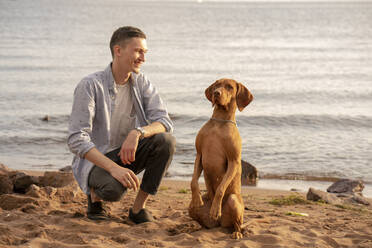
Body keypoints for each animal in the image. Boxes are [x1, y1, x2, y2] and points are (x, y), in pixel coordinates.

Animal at [189, 78, 253, 239]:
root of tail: (220, 223)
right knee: (204, 222)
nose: (216, 93)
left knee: (236, 225)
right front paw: (196, 197)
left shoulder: (233, 162)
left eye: (230, 87)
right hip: (192, 209)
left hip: (233, 201)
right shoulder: (199, 155)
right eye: (216, 85)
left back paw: (236, 233)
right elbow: (193, 182)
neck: (219, 122)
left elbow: (220, 189)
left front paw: (215, 208)